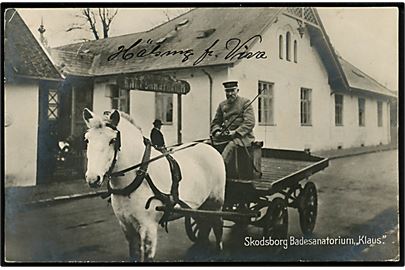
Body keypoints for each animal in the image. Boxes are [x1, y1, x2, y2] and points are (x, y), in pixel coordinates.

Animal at [82, 108, 227, 262]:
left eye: (113, 140)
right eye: (87, 139)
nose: (93, 178)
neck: (139, 176)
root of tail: (210, 147)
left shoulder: (148, 228)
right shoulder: (127, 227)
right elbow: (134, 254)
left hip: (216, 203)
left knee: (218, 225)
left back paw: (218, 250)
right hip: (200, 207)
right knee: (204, 224)